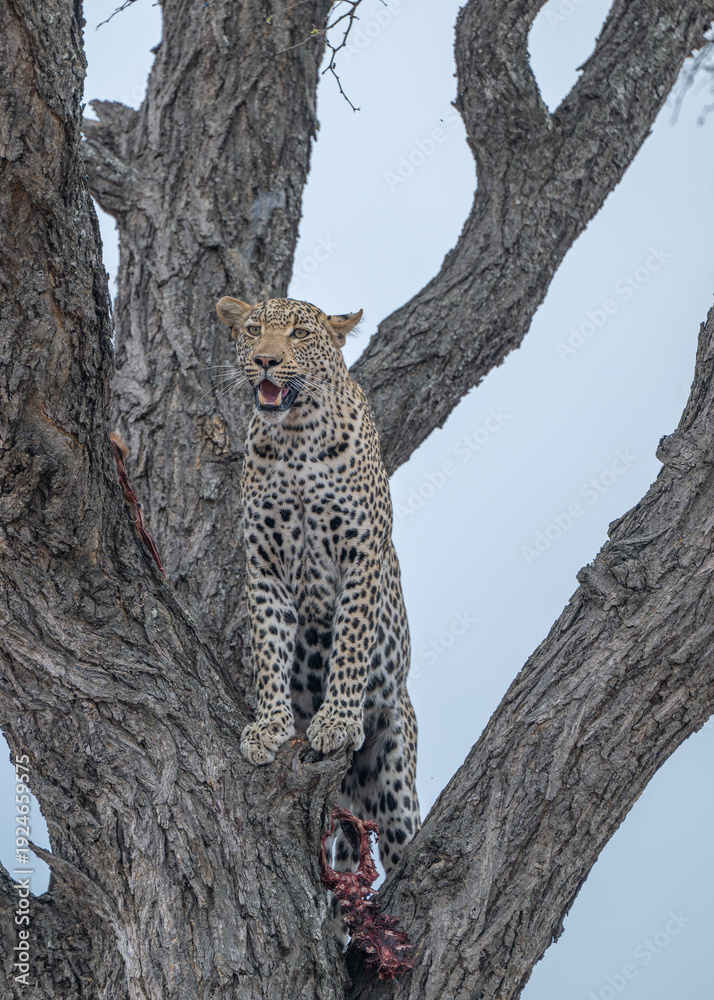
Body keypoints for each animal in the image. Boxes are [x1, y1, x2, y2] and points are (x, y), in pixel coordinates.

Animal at [216, 294, 420, 889]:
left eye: (300, 334)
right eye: (253, 330)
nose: (264, 360)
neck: (295, 439)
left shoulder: (360, 553)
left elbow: (350, 641)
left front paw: (336, 721)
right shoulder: (263, 563)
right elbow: (269, 648)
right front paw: (270, 726)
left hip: (395, 780)